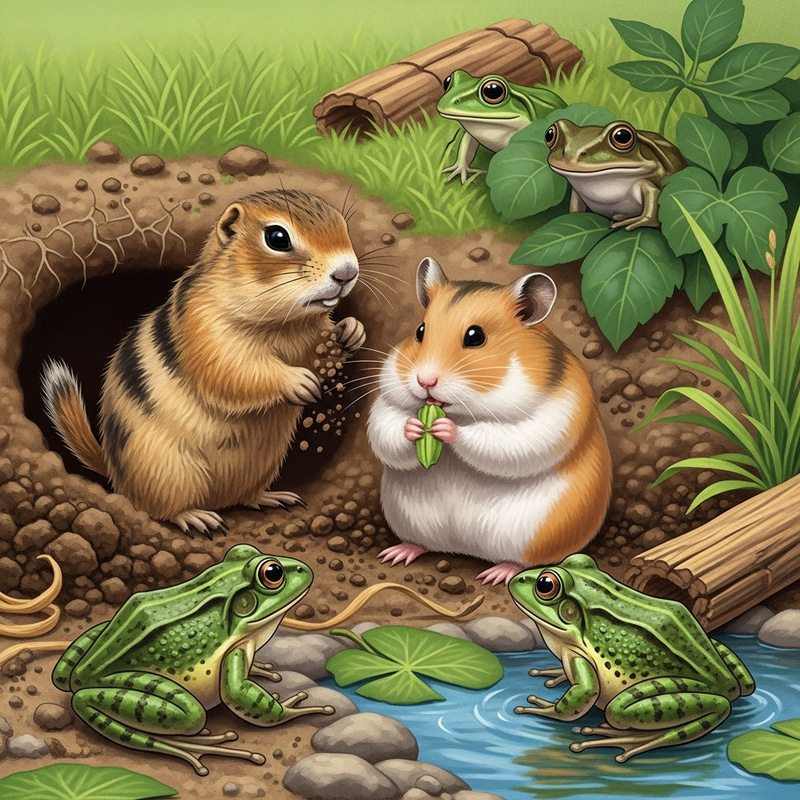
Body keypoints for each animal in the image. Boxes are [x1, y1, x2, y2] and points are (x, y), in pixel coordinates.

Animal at [42, 189, 365, 535]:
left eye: (343, 224)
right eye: (277, 238)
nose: (347, 273)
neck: (284, 323)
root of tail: (115, 472)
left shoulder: (309, 340)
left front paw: (351, 331)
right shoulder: (206, 332)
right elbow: (234, 371)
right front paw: (297, 381)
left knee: (245, 496)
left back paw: (271, 497)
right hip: (171, 470)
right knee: (159, 508)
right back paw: (196, 516)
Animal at [367, 257, 611, 585]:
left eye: (475, 337)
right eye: (420, 331)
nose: (424, 381)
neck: (461, 409)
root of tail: (463, 548)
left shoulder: (545, 422)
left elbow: (497, 440)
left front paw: (445, 428)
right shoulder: (387, 402)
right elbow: (386, 426)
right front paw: (416, 427)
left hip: (534, 535)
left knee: (522, 562)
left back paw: (495, 574)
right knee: (420, 543)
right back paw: (396, 554)